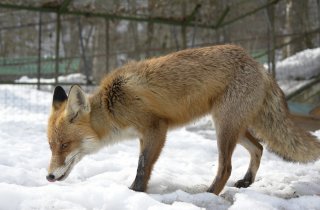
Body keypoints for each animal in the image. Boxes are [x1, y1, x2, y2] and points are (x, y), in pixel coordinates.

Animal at [45, 44, 320, 195]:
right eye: (51, 146)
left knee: (226, 167)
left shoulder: (156, 127)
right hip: (234, 127)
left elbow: (142, 167)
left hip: (224, 128)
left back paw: (209, 195)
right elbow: (143, 166)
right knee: (260, 147)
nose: (48, 177)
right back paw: (247, 181)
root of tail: (259, 64)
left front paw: (135, 193)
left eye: (65, 145)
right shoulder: (145, 135)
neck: (112, 104)